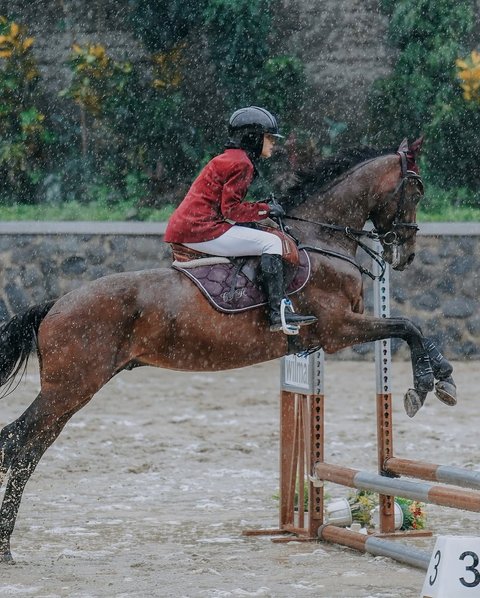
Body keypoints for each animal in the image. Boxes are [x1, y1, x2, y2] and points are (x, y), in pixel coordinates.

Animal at [0, 138, 458, 564]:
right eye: (416, 190)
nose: (405, 255)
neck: (321, 238)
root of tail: (55, 304)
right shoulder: (338, 329)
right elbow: (410, 327)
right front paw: (428, 384)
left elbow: (411, 329)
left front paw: (440, 380)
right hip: (69, 389)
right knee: (18, 445)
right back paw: (5, 544)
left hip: (71, 394)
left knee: (27, 449)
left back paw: (6, 544)